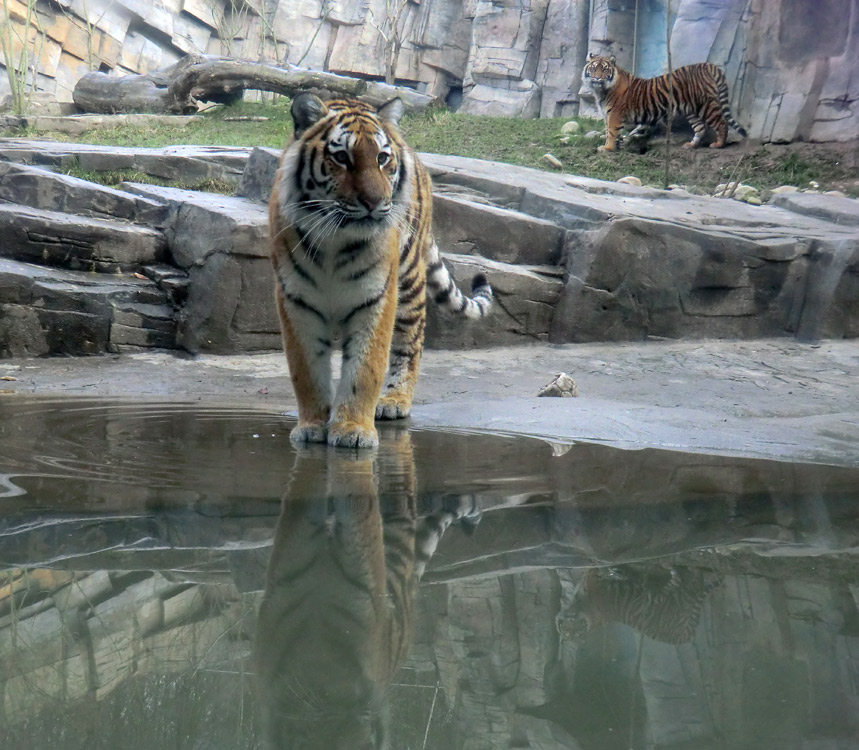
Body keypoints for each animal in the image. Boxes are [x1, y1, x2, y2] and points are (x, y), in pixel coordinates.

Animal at [268, 92, 498, 446]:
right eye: (342, 158)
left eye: (381, 158)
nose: (374, 202)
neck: (335, 239)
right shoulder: (296, 300)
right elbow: (306, 369)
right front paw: (312, 426)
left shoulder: (376, 297)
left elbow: (365, 368)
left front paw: (353, 430)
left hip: (409, 281)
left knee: (411, 343)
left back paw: (393, 400)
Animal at [580, 53, 748, 153]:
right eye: (593, 69)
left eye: (604, 70)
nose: (597, 78)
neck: (601, 90)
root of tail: (707, 65)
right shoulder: (607, 115)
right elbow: (613, 132)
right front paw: (616, 146)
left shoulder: (614, 114)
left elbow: (611, 132)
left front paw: (607, 148)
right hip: (692, 110)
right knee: (700, 128)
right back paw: (691, 145)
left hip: (707, 105)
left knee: (722, 123)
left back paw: (719, 144)